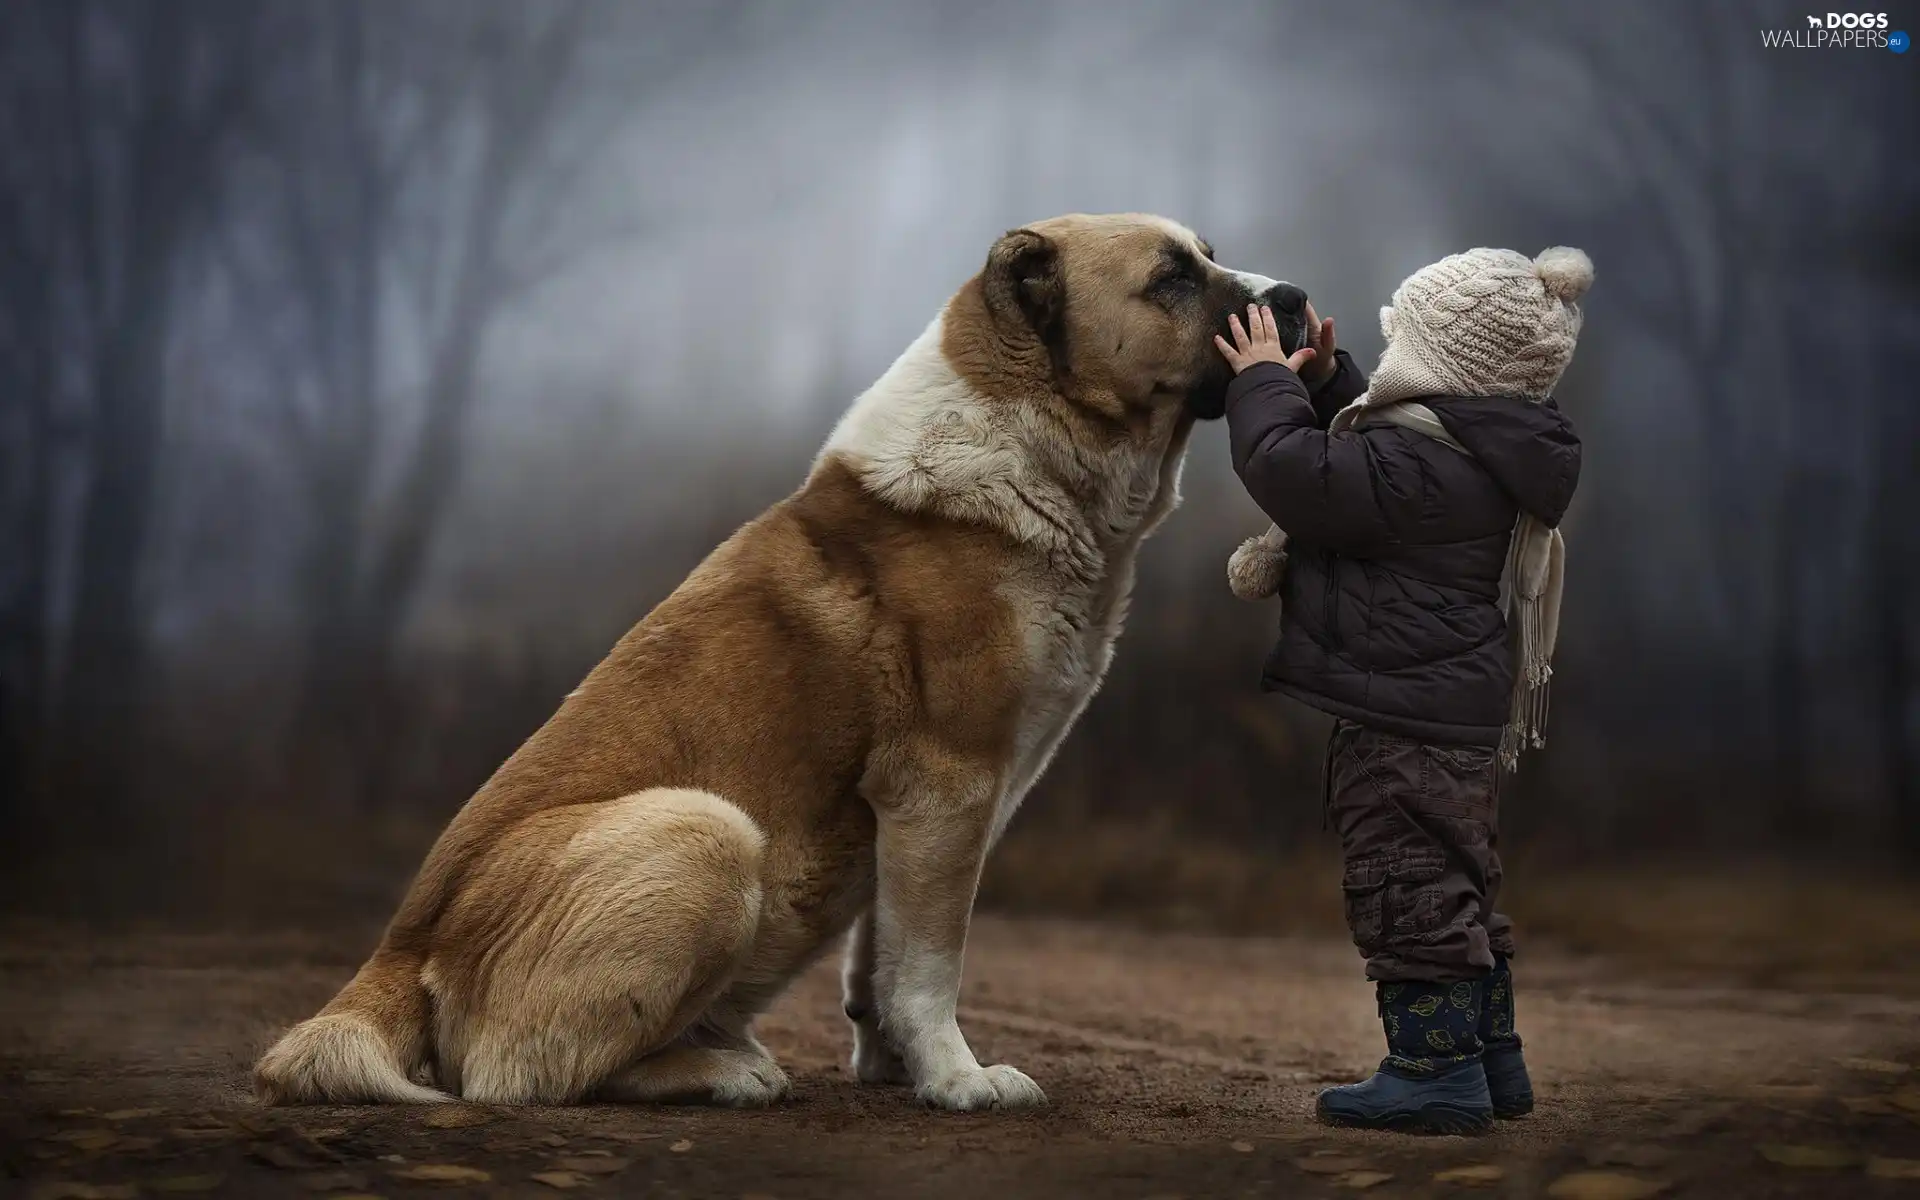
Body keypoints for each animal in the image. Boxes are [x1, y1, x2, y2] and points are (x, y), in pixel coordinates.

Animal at [255, 215, 1305, 1113]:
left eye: (1210, 256)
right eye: (1171, 279)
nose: (1293, 298)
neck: (1029, 443)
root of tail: (395, 955)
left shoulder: (916, 815)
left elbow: (881, 957)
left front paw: (896, 1067)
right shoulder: (948, 786)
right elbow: (931, 963)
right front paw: (959, 1081)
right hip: (707, 832)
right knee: (521, 1076)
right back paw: (726, 1071)